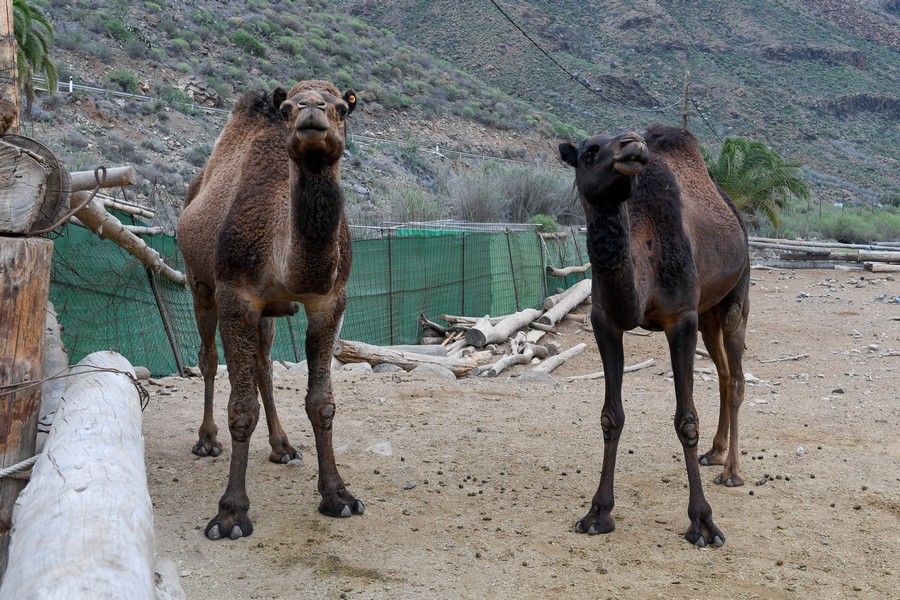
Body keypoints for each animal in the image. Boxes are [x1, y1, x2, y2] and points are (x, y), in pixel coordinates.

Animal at [178, 79, 364, 540]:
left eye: (343, 107)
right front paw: (230, 514)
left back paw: (282, 446)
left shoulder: (329, 300)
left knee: (263, 365)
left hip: (266, 313)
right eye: (286, 108)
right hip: (199, 284)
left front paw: (338, 496)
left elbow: (321, 402)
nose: (311, 110)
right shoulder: (236, 296)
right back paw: (206, 440)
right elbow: (241, 407)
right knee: (207, 357)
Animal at [560, 126, 748, 548]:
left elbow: (686, 419)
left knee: (737, 378)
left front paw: (703, 523)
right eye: (588, 152)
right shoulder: (605, 322)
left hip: (735, 298)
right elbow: (611, 416)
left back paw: (731, 471)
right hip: (708, 313)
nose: (631, 145)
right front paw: (597, 513)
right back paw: (714, 453)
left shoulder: (681, 320)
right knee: (724, 376)